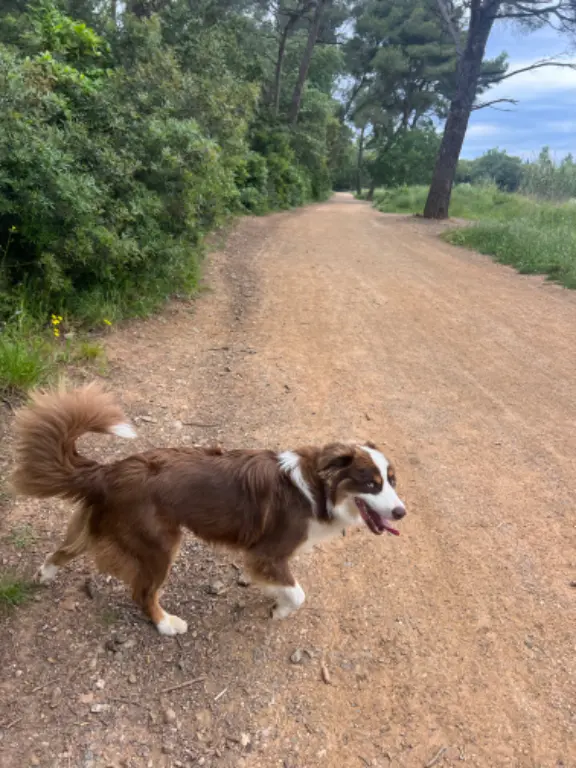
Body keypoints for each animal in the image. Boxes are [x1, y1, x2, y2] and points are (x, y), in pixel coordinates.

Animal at [11, 388, 408, 632]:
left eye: (392, 480)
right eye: (371, 483)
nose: (402, 512)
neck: (317, 488)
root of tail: (109, 471)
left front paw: (270, 596)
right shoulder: (269, 552)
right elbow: (298, 594)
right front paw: (279, 610)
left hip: (104, 526)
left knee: (64, 549)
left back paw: (44, 575)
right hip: (159, 544)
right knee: (143, 594)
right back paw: (167, 624)